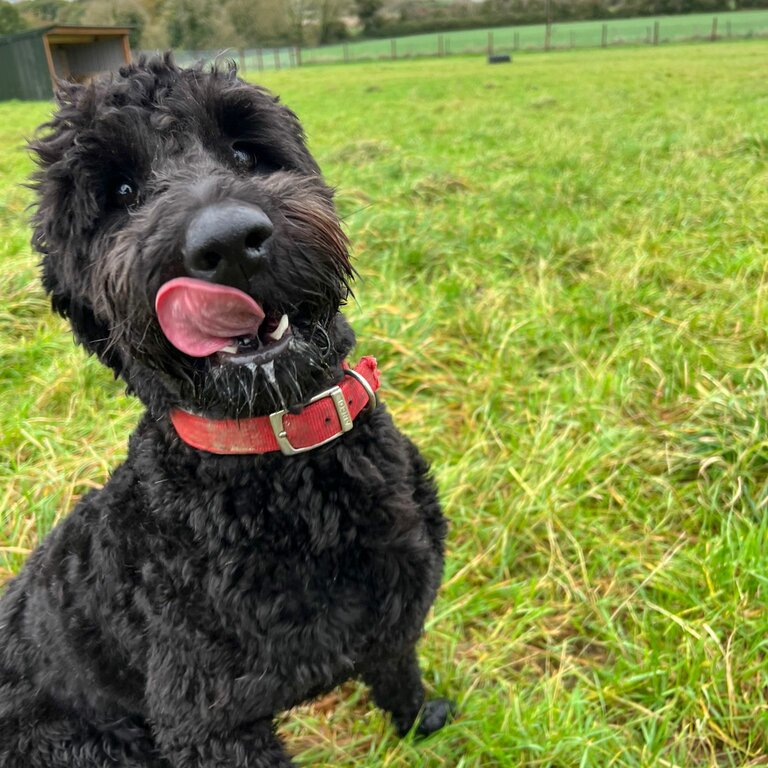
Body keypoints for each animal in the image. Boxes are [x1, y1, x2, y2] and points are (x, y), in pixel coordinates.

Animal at [0, 55, 450, 768]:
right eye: (121, 192)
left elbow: (396, 668)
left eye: (245, 151)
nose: (230, 241)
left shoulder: (395, 614)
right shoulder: (210, 724)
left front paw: (420, 722)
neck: (285, 465)